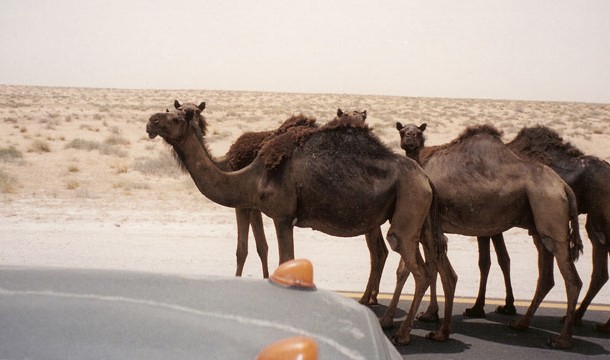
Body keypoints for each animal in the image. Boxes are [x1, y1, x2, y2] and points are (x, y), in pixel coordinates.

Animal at [145, 102, 454, 344]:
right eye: (168, 111)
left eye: (175, 118)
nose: (150, 121)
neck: (251, 176)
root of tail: (425, 178)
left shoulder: (282, 216)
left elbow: (285, 262)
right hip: (420, 219)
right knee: (428, 263)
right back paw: (423, 327)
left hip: (407, 210)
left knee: (416, 267)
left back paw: (402, 333)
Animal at [384, 122, 584, 348]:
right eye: (402, 131)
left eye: (417, 132)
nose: (409, 139)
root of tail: (563, 187)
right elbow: (429, 269)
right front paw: (429, 315)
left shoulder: (429, 227)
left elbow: (412, 270)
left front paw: (398, 321)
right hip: (540, 227)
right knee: (546, 276)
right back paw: (521, 323)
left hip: (550, 211)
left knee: (572, 279)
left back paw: (562, 339)